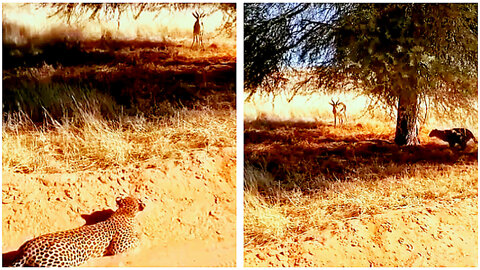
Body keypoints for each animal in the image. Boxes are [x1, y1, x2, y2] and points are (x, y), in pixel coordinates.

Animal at [10, 195, 144, 266]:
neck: (124, 212)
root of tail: (28, 249)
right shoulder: (118, 247)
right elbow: (136, 241)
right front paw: (140, 236)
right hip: (63, 261)